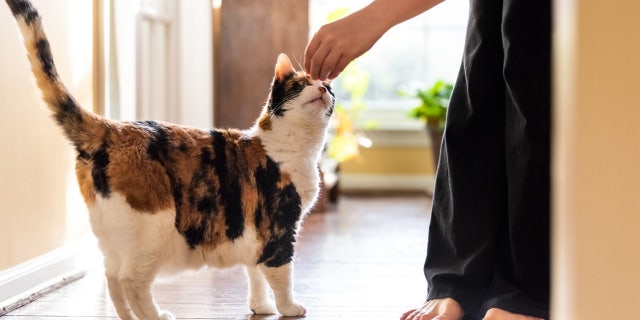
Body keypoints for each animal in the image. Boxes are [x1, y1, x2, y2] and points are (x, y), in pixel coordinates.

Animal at [6, 1, 336, 318]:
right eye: (300, 84)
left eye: (329, 88)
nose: (323, 88)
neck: (294, 146)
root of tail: (113, 128)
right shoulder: (279, 228)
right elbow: (281, 276)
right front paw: (289, 309)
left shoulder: (256, 236)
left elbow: (255, 274)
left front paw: (261, 307)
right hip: (153, 228)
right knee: (131, 280)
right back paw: (156, 316)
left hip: (113, 234)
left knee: (111, 278)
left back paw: (128, 317)